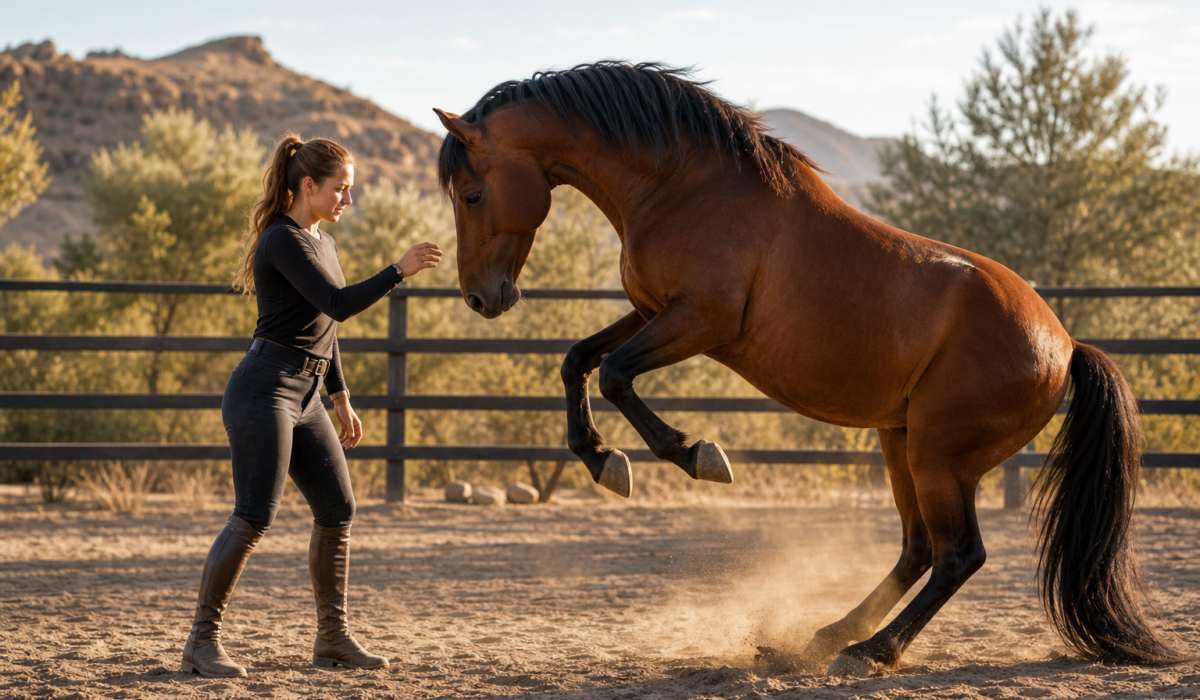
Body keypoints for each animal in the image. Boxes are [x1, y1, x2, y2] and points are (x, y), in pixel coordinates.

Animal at [432, 62, 1181, 675]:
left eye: (471, 195)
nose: (481, 298)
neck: (683, 186)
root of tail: (1065, 345)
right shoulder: (652, 311)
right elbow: (578, 361)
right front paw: (603, 460)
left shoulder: (700, 321)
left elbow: (615, 375)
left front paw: (693, 455)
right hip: (901, 442)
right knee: (917, 550)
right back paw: (824, 638)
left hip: (940, 455)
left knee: (958, 555)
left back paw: (871, 651)